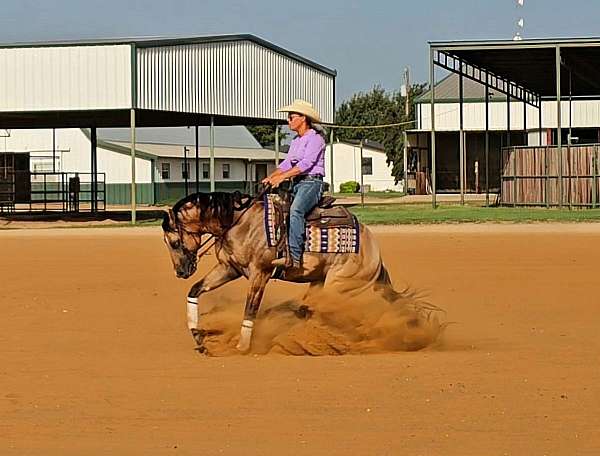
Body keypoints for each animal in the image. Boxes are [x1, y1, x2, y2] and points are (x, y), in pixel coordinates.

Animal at [162, 189, 420, 352]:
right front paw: (197, 335)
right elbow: (195, 290)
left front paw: (243, 346)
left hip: (340, 284)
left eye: (174, 242)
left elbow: (250, 309)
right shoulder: (229, 268)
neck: (239, 222)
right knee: (309, 310)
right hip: (320, 283)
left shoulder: (260, 274)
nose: (180, 272)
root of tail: (374, 253)